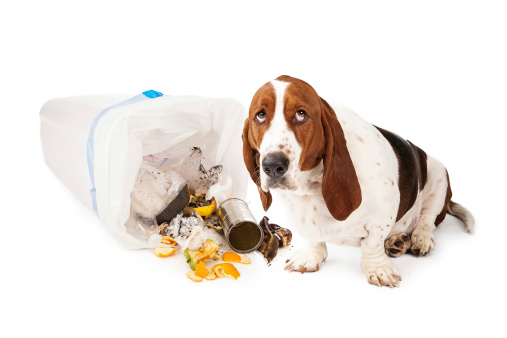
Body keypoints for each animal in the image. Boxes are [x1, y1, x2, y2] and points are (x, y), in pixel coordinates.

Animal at [244, 75, 474, 286]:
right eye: (260, 115)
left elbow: (372, 243)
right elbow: (312, 238)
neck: (312, 185)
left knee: (427, 220)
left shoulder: (384, 211)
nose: (273, 165)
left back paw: (419, 239)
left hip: (439, 176)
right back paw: (398, 240)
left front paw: (378, 268)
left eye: (301, 114)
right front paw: (310, 257)